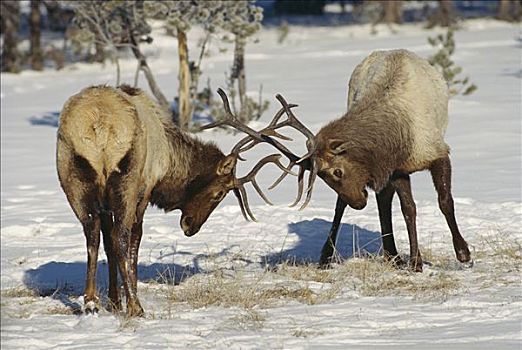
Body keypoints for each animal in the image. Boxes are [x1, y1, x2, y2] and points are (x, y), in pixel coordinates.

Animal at [55, 85, 302, 318]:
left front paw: (115, 302)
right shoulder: (145, 190)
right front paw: (127, 298)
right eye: (220, 193)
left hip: (73, 180)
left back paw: (90, 302)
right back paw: (135, 307)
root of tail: (99, 125)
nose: (190, 226)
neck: (169, 159)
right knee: (121, 237)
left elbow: (107, 244)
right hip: (127, 180)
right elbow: (133, 240)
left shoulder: (106, 205)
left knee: (92, 235)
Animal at [264, 49, 472, 272]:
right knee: (359, 204)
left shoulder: (436, 153)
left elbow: (444, 202)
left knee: (380, 200)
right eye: (320, 176)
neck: (396, 138)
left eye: (338, 171)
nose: (357, 203)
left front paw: (463, 253)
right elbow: (408, 210)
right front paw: (416, 262)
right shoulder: (396, 168)